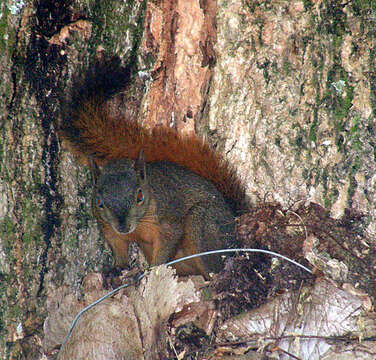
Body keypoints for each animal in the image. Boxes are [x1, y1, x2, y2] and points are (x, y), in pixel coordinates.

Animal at [61, 56, 244, 278]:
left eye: (140, 196)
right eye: (99, 202)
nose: (123, 226)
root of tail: (233, 218)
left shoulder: (168, 220)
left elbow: (167, 242)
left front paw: (152, 269)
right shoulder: (108, 228)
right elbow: (118, 247)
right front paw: (117, 268)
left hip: (202, 223)